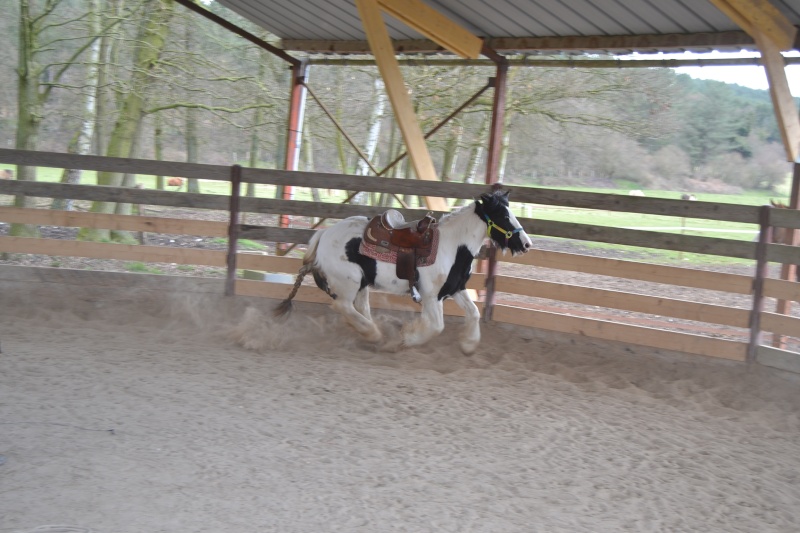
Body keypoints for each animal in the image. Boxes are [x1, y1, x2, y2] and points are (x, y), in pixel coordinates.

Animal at [276, 188, 532, 354]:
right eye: (503, 215)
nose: (526, 244)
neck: (452, 246)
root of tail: (324, 234)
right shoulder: (431, 296)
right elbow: (436, 326)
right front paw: (408, 338)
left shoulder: (456, 289)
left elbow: (474, 313)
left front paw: (468, 345)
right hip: (348, 282)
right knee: (343, 306)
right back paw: (375, 334)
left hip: (362, 284)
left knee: (359, 308)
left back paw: (373, 333)